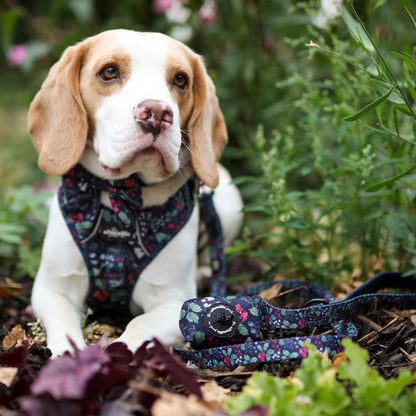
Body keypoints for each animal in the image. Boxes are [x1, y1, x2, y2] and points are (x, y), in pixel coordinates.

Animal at [28, 29, 244, 356]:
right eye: (109, 72)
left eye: (180, 80)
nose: (156, 112)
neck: (119, 197)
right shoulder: (51, 288)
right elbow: (64, 319)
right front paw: (69, 357)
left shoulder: (174, 304)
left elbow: (138, 326)